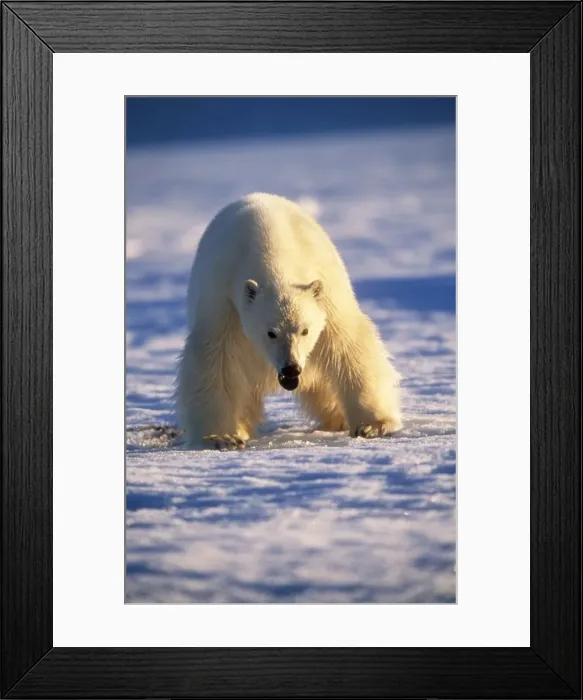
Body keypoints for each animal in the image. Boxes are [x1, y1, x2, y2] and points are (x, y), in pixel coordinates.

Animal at [176, 193, 402, 450]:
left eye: (305, 330)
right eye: (270, 332)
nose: (290, 368)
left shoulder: (326, 291)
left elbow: (348, 345)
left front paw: (374, 425)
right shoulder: (223, 298)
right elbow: (214, 359)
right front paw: (221, 437)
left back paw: (337, 419)